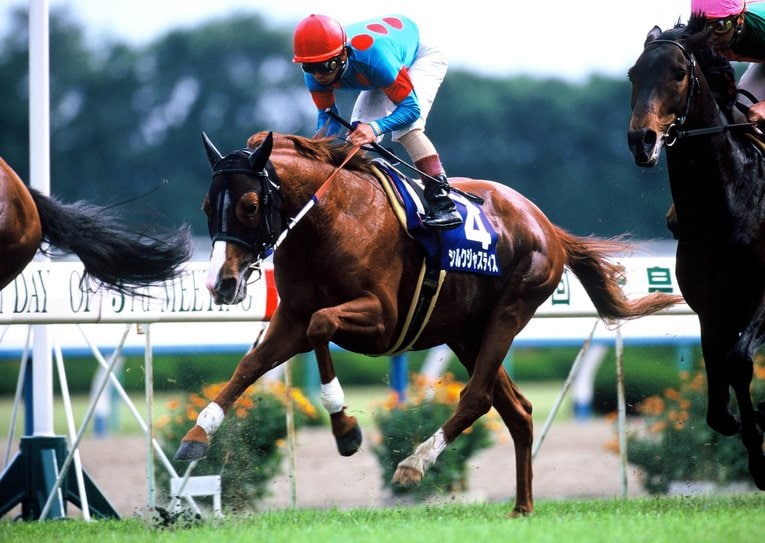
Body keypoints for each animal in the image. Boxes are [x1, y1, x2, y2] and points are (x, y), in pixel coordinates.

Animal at [173, 130, 681, 516]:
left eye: (250, 205)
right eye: (206, 207)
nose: (221, 283)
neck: (330, 221)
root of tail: (547, 225)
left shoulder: (381, 320)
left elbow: (321, 326)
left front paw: (346, 430)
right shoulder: (290, 319)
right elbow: (249, 366)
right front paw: (196, 436)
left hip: (509, 312)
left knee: (477, 397)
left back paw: (415, 464)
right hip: (465, 333)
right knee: (517, 410)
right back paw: (522, 507)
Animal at [627, 15, 765, 490]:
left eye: (678, 74)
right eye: (633, 75)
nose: (641, 139)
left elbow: (738, 362)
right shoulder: (710, 306)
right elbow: (718, 407)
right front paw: (747, 427)